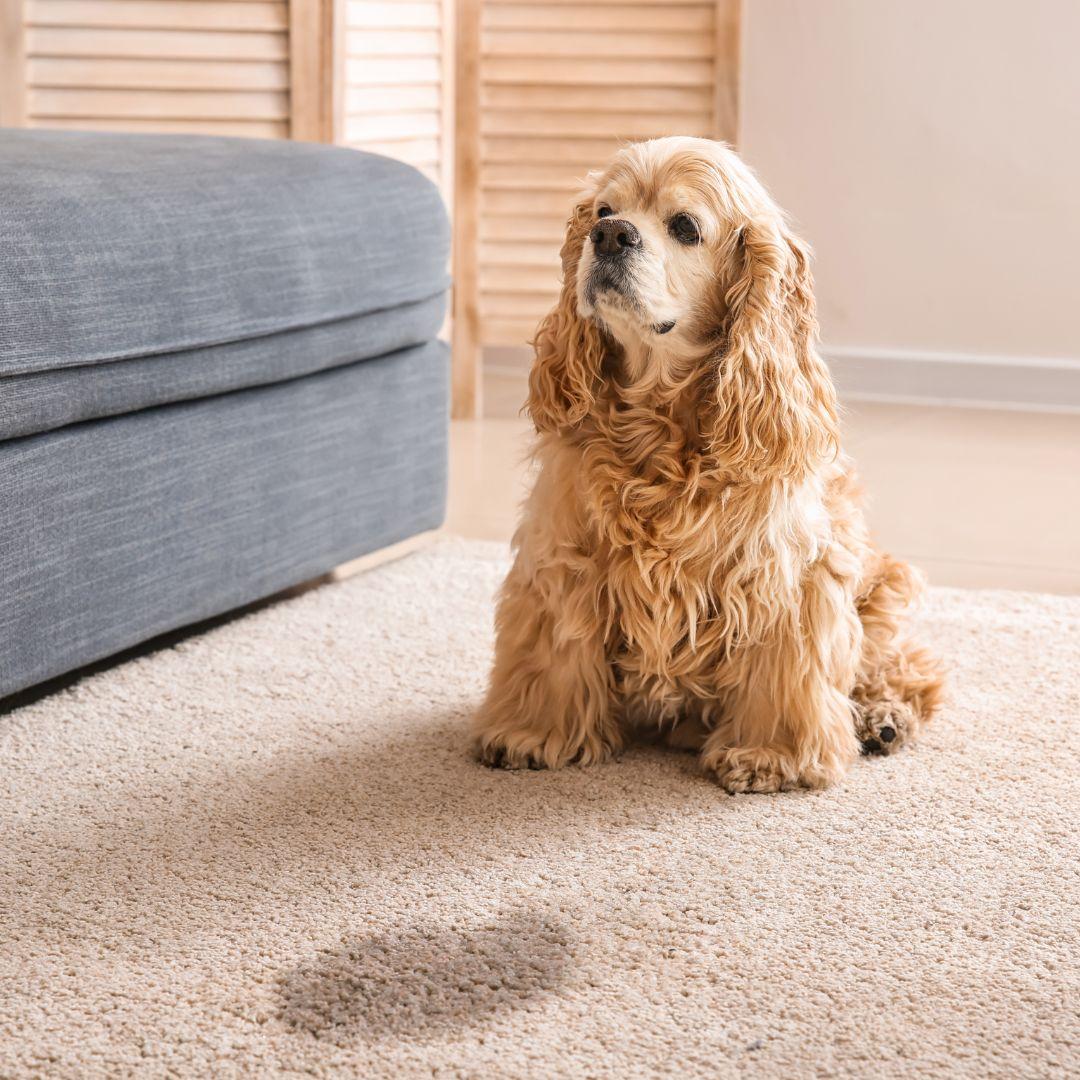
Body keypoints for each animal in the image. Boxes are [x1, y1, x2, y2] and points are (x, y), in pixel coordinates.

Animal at [473, 137, 937, 794]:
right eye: (602, 211)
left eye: (685, 227)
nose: (610, 236)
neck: (659, 429)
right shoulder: (563, 555)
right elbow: (554, 651)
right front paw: (533, 733)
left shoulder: (786, 577)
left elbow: (785, 672)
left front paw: (771, 756)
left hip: (881, 584)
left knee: (909, 668)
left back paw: (882, 718)